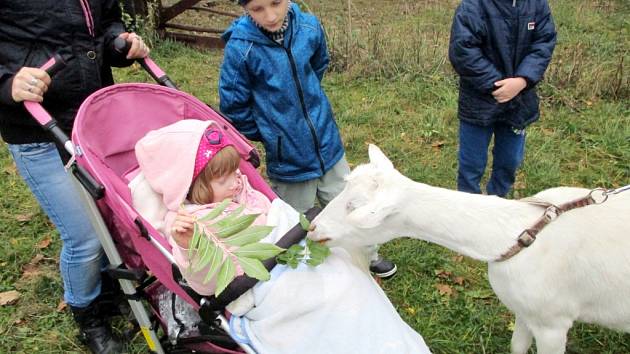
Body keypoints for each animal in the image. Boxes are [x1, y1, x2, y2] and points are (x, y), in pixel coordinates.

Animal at [312, 144, 630, 354]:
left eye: (354, 207)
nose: (313, 227)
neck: (515, 232)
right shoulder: (526, 310)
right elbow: (517, 346)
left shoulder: (553, 322)